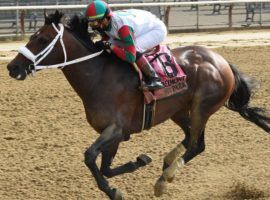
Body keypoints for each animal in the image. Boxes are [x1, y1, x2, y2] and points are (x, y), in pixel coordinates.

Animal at [6, 11, 270, 200]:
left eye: (41, 39)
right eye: (32, 36)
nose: (12, 67)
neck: (98, 76)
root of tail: (222, 61)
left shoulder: (116, 129)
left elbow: (90, 157)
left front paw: (115, 190)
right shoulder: (112, 134)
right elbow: (105, 167)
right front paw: (139, 162)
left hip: (202, 107)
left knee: (198, 145)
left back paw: (164, 179)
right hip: (178, 110)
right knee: (189, 138)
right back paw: (166, 163)